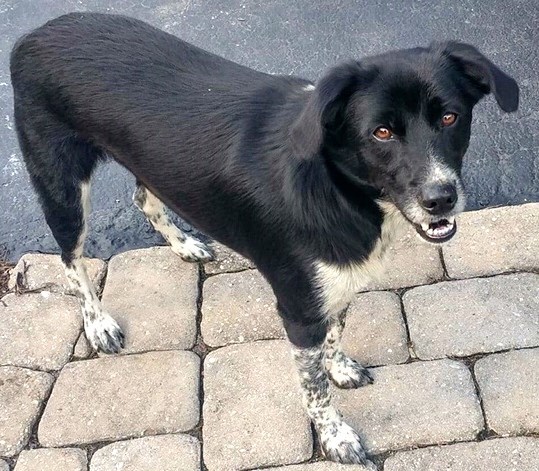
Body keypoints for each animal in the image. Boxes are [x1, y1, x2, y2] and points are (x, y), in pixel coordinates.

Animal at [10, 12, 520, 466]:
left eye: (450, 117)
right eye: (381, 132)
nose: (441, 199)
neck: (338, 186)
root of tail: (31, 35)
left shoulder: (334, 285)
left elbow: (335, 334)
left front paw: (338, 367)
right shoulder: (298, 308)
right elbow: (314, 391)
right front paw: (336, 438)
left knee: (143, 197)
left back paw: (183, 244)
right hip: (62, 187)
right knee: (71, 258)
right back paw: (98, 323)